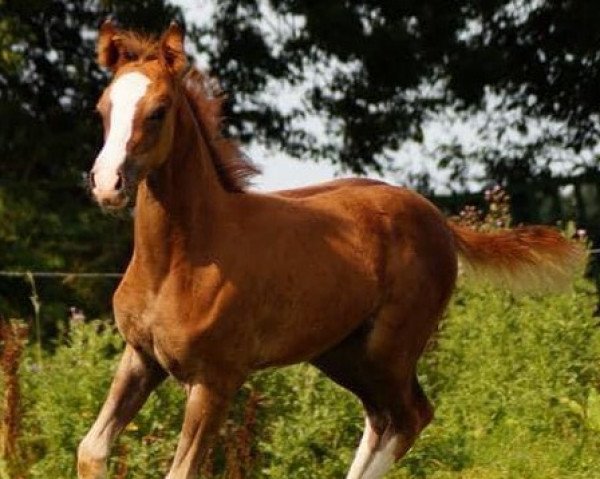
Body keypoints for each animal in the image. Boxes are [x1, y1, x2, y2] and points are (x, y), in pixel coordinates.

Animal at [77, 21, 584, 479]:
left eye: (158, 110)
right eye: (103, 109)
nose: (107, 184)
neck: (181, 259)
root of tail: (438, 219)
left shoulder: (216, 379)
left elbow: (180, 471)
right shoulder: (141, 357)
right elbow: (91, 451)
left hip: (389, 349)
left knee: (411, 416)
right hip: (342, 352)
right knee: (382, 419)